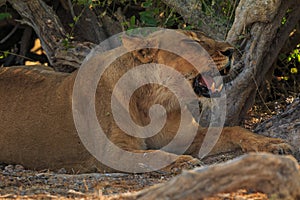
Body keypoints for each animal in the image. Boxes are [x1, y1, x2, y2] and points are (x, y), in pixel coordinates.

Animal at [0, 28, 292, 173]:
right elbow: (153, 155)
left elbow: (235, 130)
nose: (232, 50)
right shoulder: (111, 153)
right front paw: (183, 163)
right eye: (191, 43)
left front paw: (273, 144)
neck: (155, 100)